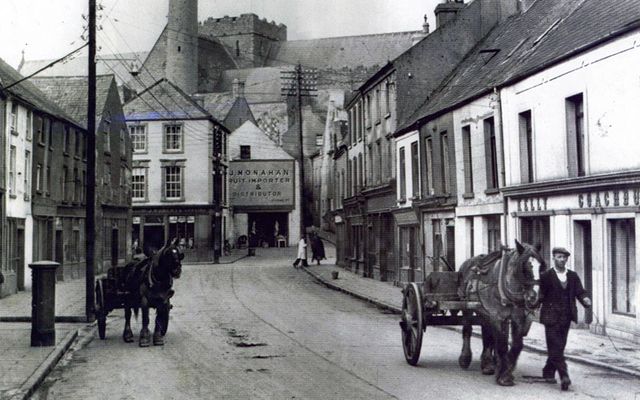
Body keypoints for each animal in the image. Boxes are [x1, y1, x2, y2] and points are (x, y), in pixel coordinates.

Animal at [458, 239, 548, 386]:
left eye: (542, 267)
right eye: (524, 266)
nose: (533, 298)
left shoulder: (517, 317)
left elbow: (516, 345)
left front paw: (507, 367)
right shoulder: (497, 317)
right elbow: (501, 344)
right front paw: (504, 376)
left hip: (484, 312)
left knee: (487, 334)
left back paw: (488, 364)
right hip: (468, 308)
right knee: (467, 330)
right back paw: (465, 358)